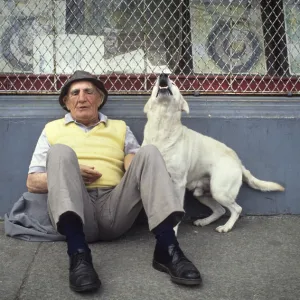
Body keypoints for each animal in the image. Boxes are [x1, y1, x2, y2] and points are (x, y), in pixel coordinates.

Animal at [142, 74, 284, 233]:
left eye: (173, 82)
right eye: (155, 83)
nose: (163, 75)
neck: (162, 127)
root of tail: (238, 162)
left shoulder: (178, 183)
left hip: (219, 190)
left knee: (237, 209)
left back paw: (226, 227)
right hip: (202, 194)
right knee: (220, 210)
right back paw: (204, 221)